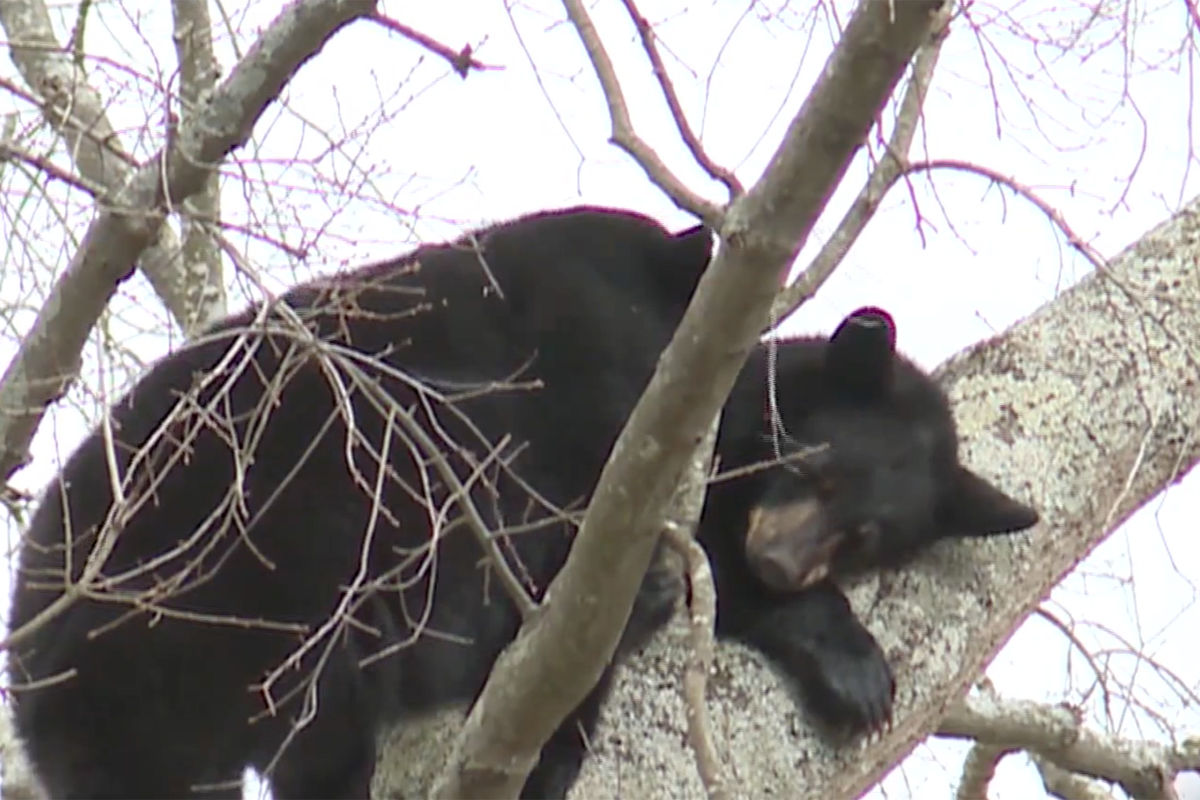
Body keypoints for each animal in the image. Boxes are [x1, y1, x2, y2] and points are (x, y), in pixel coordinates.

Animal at [7, 206, 1041, 800]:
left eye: (865, 534)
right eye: (816, 472)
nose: (786, 561)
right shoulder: (617, 408)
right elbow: (656, 541)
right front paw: (849, 659)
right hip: (274, 527)